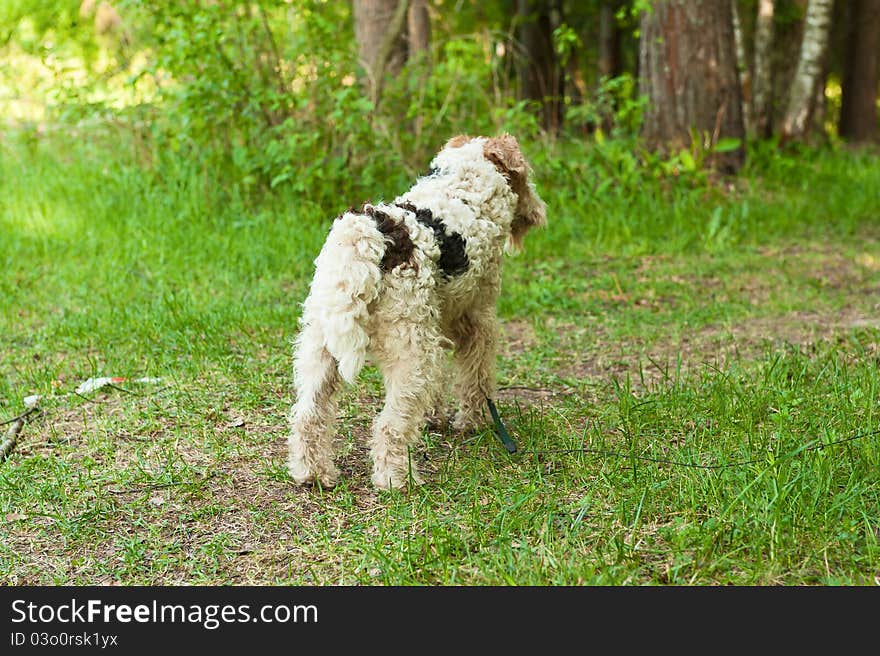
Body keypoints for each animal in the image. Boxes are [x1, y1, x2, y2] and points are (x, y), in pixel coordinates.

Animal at [288, 135, 548, 486]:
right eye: (524, 174)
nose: (537, 214)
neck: (465, 185)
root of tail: (366, 237)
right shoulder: (477, 320)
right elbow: (477, 377)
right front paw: (472, 421)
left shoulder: (438, 322)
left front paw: (433, 417)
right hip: (410, 352)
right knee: (389, 425)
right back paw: (396, 480)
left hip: (321, 343)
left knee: (309, 415)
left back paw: (313, 474)